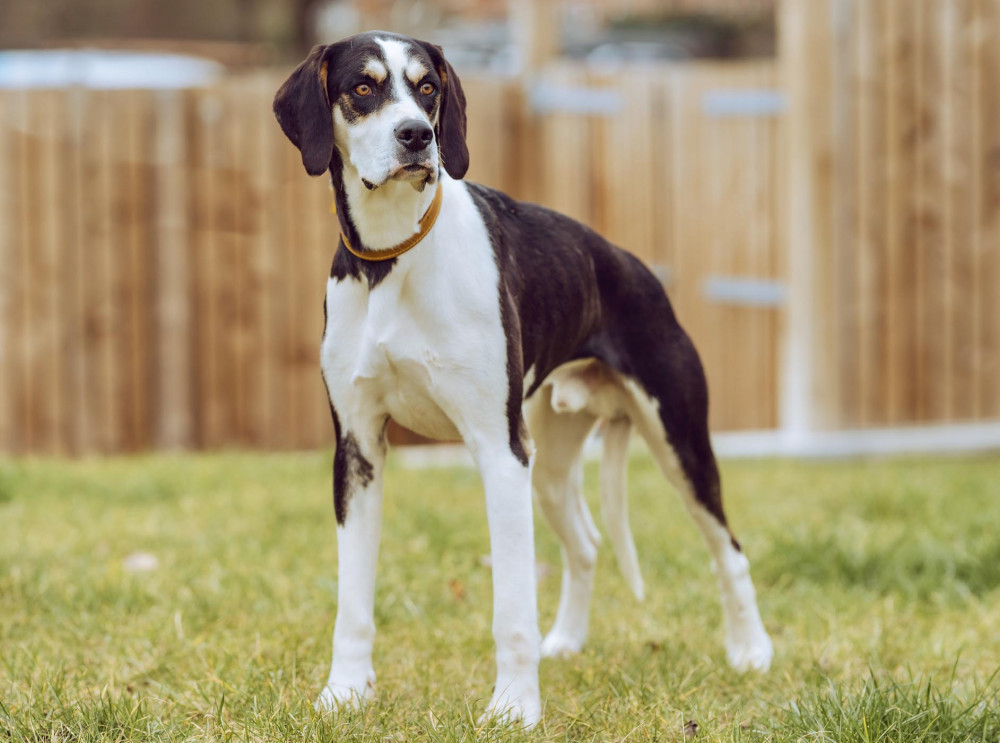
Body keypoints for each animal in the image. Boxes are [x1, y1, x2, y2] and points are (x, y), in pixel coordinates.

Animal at [274, 33, 772, 728]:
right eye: (363, 88)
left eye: (428, 88)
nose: (416, 136)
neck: (394, 258)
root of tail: (633, 266)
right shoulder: (357, 452)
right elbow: (352, 603)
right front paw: (344, 694)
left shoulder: (497, 450)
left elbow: (511, 606)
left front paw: (513, 708)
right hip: (552, 464)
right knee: (586, 545)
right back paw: (564, 641)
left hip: (678, 445)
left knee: (729, 548)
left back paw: (751, 650)